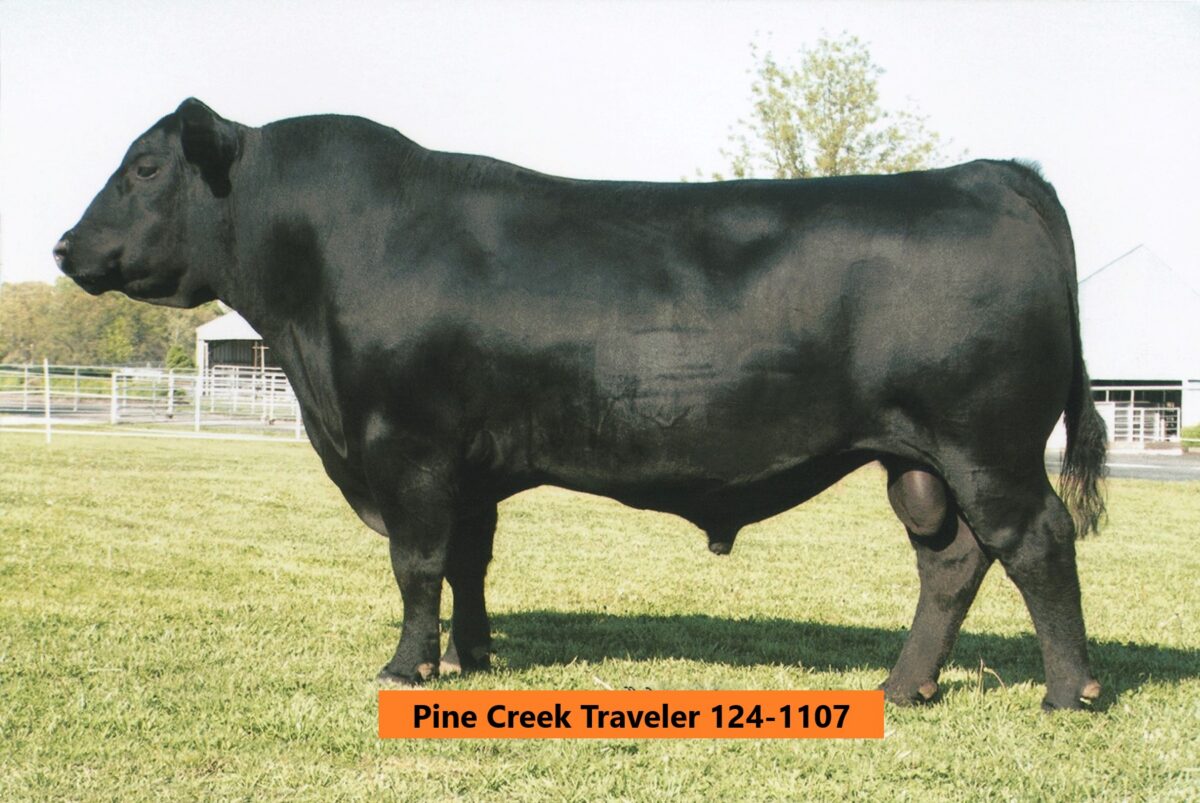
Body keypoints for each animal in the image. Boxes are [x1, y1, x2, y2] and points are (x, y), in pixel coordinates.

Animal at [55, 99, 1107, 711]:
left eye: (145, 167)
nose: (67, 246)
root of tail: (991, 174)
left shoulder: (408, 446)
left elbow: (417, 563)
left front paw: (405, 666)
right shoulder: (466, 464)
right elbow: (469, 562)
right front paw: (472, 657)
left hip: (987, 443)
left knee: (1037, 542)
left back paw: (1069, 693)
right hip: (922, 459)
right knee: (954, 561)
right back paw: (903, 686)